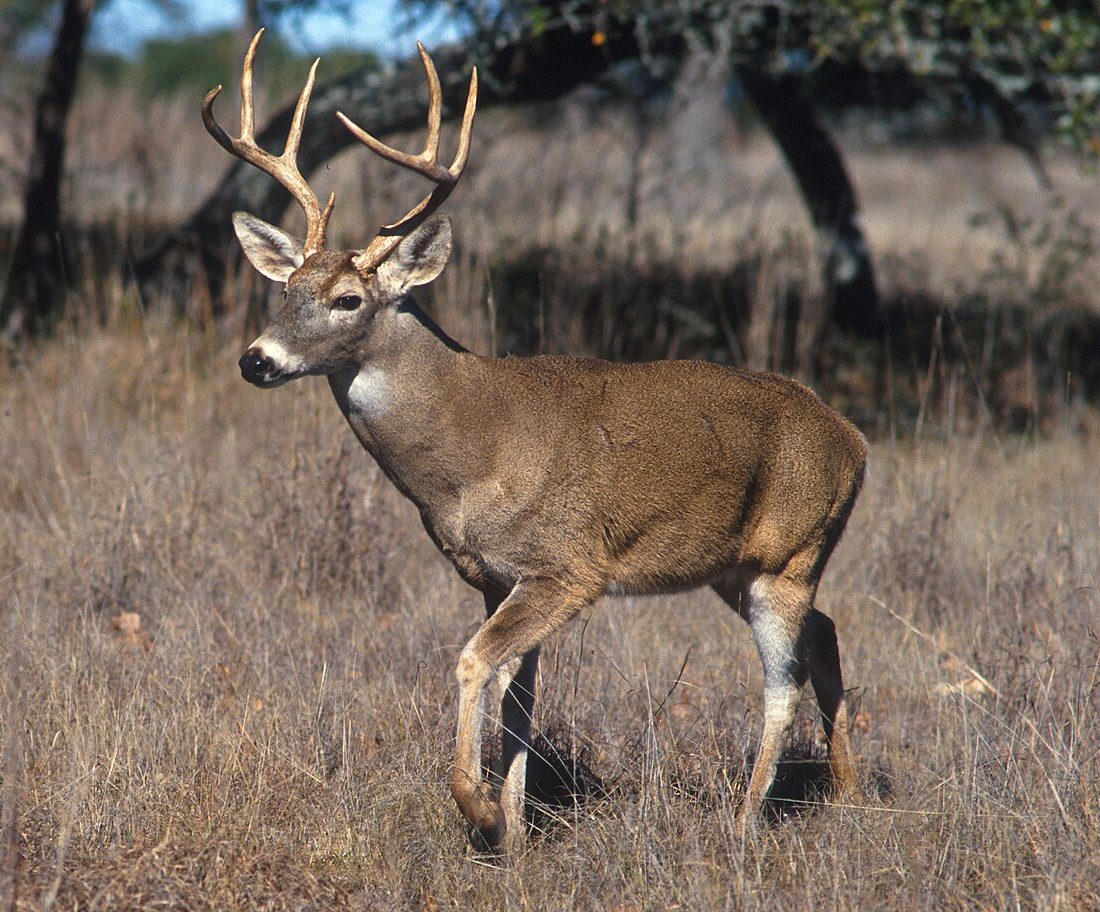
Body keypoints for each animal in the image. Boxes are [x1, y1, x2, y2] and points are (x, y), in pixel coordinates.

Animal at [204, 31, 867, 856]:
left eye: (347, 298)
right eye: (285, 289)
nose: (256, 360)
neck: (470, 451)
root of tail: (855, 442)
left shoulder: (566, 566)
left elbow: (473, 662)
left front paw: (480, 809)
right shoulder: (497, 576)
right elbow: (518, 696)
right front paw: (516, 831)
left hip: (790, 553)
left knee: (783, 681)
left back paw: (744, 823)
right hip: (738, 566)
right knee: (827, 636)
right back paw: (849, 794)